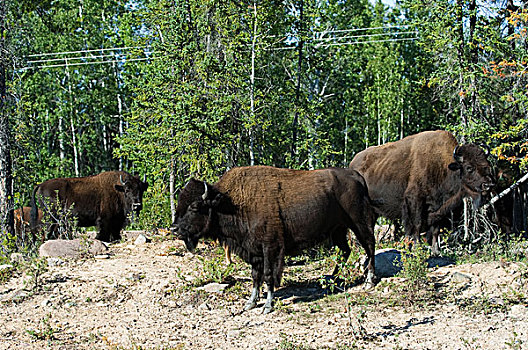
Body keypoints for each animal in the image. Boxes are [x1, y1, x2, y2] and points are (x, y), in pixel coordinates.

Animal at [172, 165, 376, 314]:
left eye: (194, 206)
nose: (174, 229)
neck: (230, 203)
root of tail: (357, 176)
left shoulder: (271, 248)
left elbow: (269, 275)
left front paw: (267, 306)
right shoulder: (253, 251)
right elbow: (256, 277)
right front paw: (250, 303)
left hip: (359, 223)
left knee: (369, 246)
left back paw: (369, 281)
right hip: (338, 229)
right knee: (345, 250)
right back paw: (332, 280)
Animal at [350, 130, 496, 256]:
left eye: (487, 165)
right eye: (469, 167)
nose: (488, 185)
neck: (443, 165)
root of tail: (352, 164)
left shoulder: (437, 206)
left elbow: (435, 229)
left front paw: (436, 252)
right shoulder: (415, 200)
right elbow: (417, 225)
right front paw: (416, 248)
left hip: (373, 211)